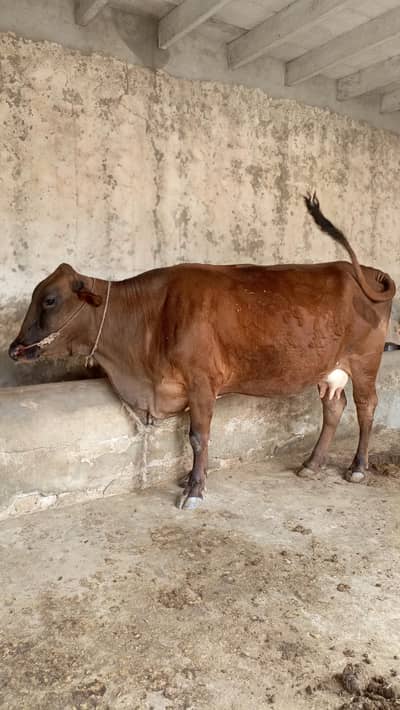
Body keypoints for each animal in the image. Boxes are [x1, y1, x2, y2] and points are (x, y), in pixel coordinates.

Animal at [9, 194, 395, 509]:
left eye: (50, 299)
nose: (14, 348)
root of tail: (361, 270)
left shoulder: (201, 382)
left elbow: (198, 436)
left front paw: (194, 489)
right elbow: (191, 436)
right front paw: (192, 478)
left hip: (365, 361)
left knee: (365, 407)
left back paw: (357, 468)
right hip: (331, 368)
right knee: (334, 408)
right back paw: (311, 464)